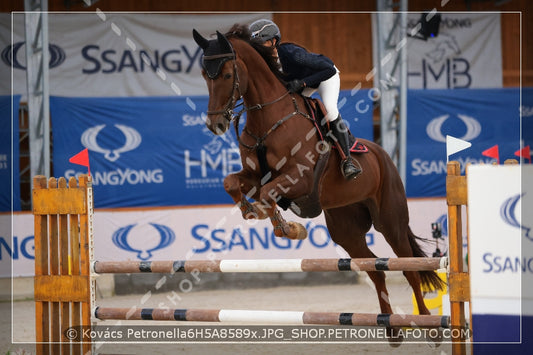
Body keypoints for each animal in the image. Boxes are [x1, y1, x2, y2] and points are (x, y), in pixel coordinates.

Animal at [193, 27, 442, 322]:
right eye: (204, 74)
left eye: (227, 75)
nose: (216, 124)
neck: (269, 118)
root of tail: (384, 156)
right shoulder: (255, 176)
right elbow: (232, 182)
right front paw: (250, 211)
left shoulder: (299, 179)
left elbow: (268, 194)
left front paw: (288, 228)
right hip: (346, 229)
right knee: (374, 269)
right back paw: (389, 325)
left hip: (391, 222)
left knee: (408, 267)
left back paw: (424, 320)